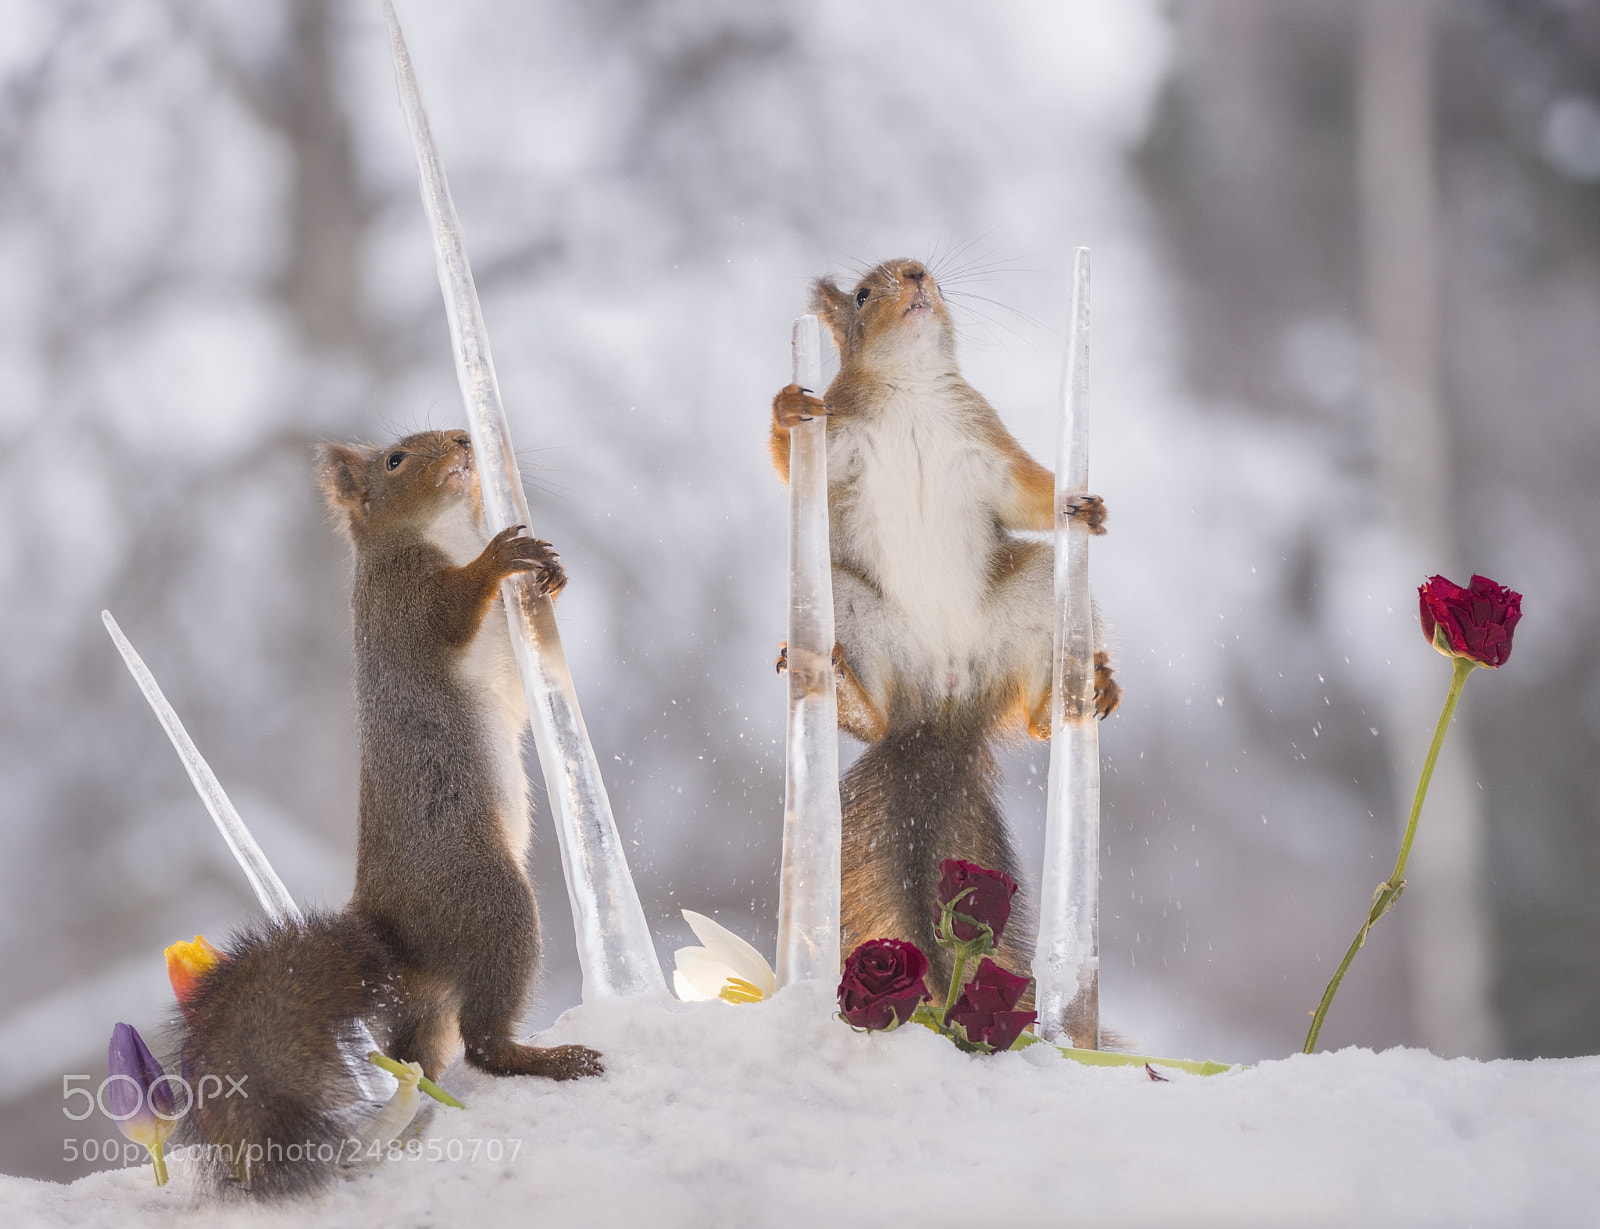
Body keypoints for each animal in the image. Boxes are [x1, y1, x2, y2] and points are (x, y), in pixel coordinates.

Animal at [175, 429, 602, 1199]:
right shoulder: (404, 604)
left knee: (428, 1056)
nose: (464, 439)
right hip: (491, 900)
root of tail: (389, 928)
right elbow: (452, 609)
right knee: (484, 1043)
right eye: (397, 460)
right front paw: (502, 557)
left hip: (430, 1002)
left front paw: (552, 572)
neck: (440, 532)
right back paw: (547, 1060)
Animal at [770, 258, 1120, 997]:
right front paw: (787, 408)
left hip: (1033, 600)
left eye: (914, 269)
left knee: (1041, 724)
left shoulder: (986, 443)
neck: (909, 390)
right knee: (873, 719)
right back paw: (846, 690)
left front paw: (1087, 507)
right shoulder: (837, 440)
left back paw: (1087, 689)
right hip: (843, 598)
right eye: (862, 295)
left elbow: (1030, 492)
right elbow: (792, 459)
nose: (916, 273)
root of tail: (940, 711)